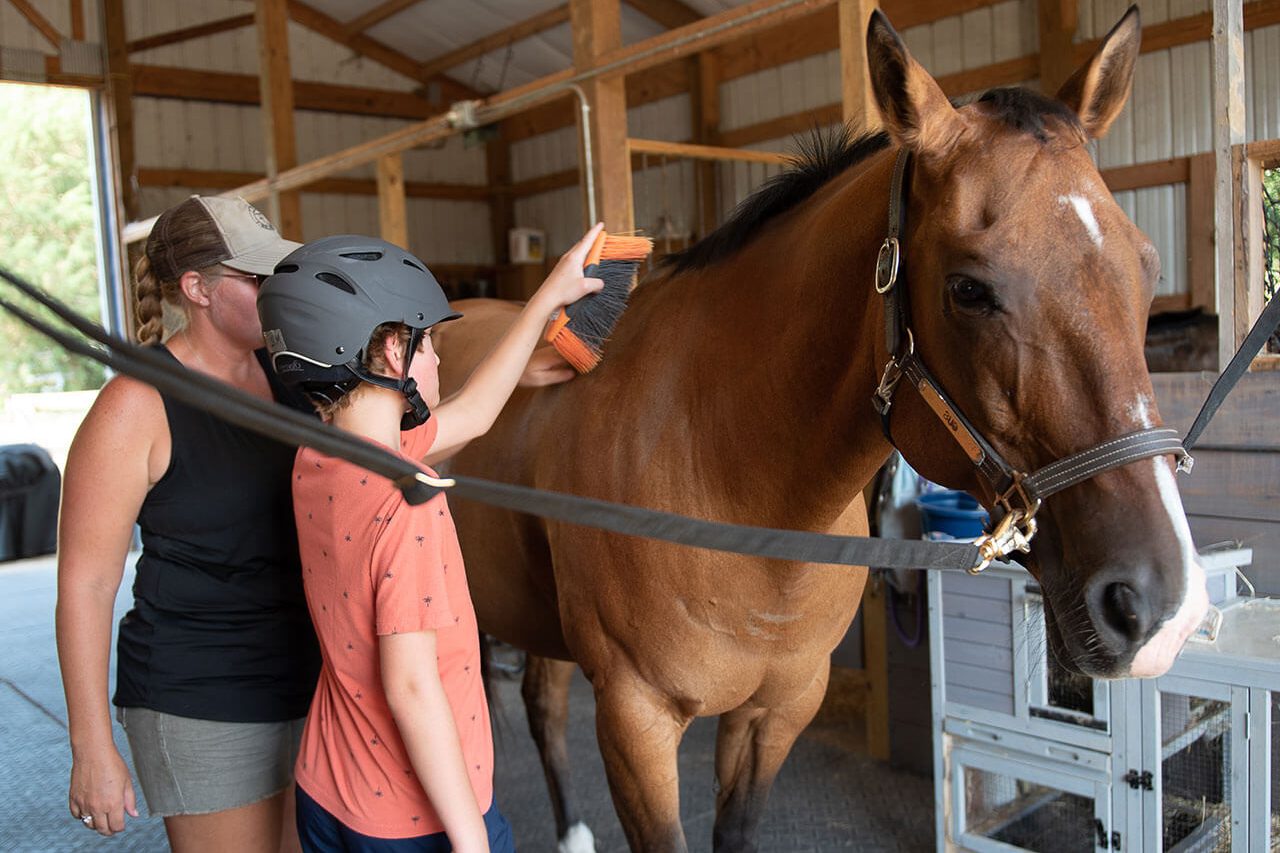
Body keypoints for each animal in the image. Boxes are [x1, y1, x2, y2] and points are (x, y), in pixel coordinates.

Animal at [435, 8, 1203, 850]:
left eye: (1146, 269)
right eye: (968, 289)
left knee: (540, 701)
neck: (726, 477)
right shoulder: (635, 722)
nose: (1160, 604)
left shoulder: (776, 711)